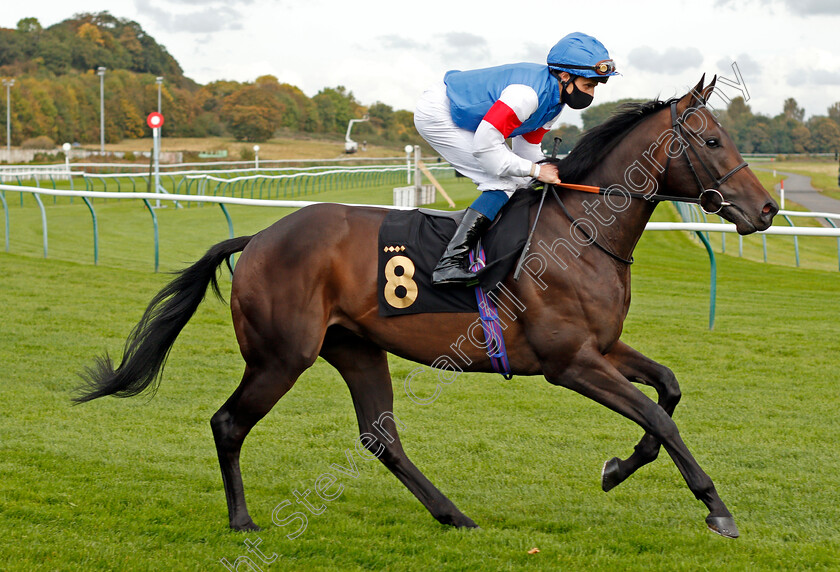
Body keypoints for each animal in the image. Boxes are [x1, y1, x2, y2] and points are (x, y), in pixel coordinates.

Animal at [77, 77, 776, 540]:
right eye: (712, 139)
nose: (767, 208)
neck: (580, 232)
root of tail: (259, 238)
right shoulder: (570, 362)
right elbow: (660, 418)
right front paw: (716, 508)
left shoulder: (602, 349)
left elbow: (670, 390)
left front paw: (617, 467)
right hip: (282, 356)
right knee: (228, 423)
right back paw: (243, 519)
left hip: (355, 349)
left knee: (379, 438)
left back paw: (452, 513)